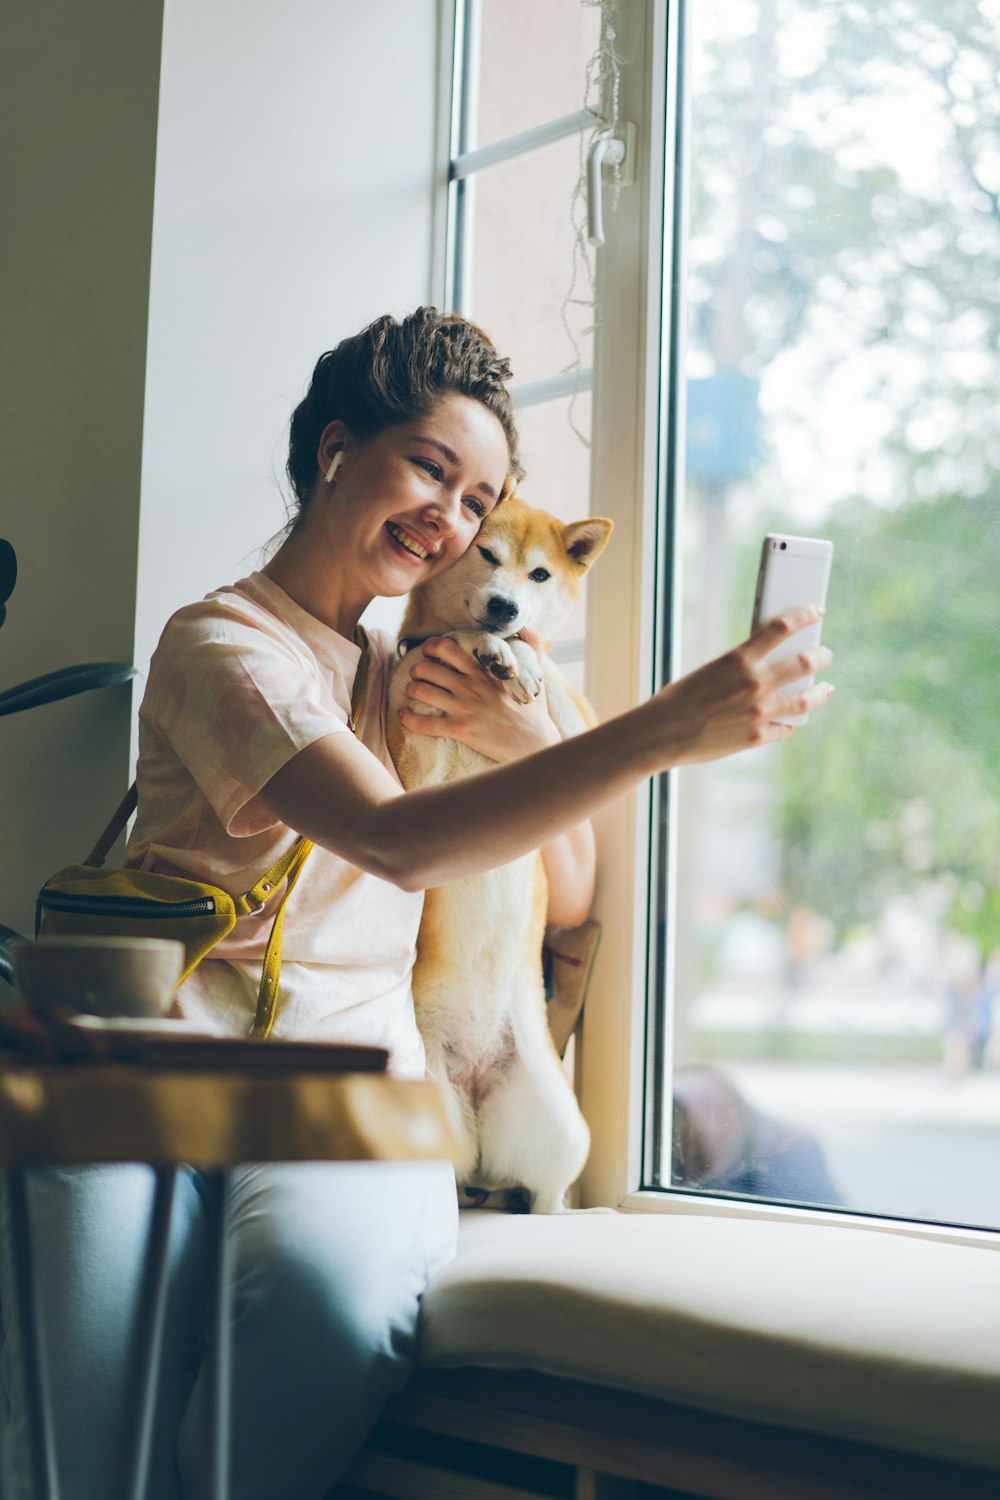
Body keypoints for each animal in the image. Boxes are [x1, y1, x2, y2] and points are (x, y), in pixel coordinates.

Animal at [386, 498, 614, 1212]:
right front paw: (485, 647)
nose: (505, 608)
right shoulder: (416, 776)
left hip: (564, 1128)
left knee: (547, 1191)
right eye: (485, 554)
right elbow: (446, 640)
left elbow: (557, 688)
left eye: (539, 574)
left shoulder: (573, 735)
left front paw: (525, 660)